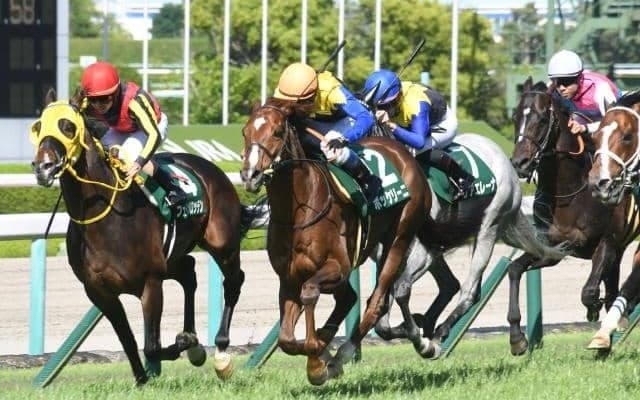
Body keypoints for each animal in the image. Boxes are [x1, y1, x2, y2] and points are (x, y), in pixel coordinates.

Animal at [30, 91, 256, 385]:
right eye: (38, 126)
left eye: (67, 126)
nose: (43, 167)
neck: (106, 217)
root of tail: (211, 168)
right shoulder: (100, 292)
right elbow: (129, 341)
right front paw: (143, 378)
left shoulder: (150, 282)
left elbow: (151, 346)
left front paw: (185, 346)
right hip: (171, 256)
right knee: (189, 272)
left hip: (223, 243)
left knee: (233, 281)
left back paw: (220, 351)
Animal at [240, 98, 430, 385]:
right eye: (245, 132)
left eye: (277, 132)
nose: (250, 174)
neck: (299, 211)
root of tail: (402, 152)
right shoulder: (289, 276)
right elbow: (286, 339)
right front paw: (317, 348)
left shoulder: (337, 267)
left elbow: (310, 293)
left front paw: (316, 362)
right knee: (349, 298)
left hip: (399, 239)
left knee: (375, 303)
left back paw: (342, 355)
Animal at [373, 132, 567, 357]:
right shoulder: (386, 253)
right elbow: (383, 309)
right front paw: (408, 326)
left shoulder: (423, 248)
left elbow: (401, 288)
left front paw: (420, 338)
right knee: (458, 287)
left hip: (488, 228)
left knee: (468, 291)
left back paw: (442, 332)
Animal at [509, 77, 640, 355]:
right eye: (515, 116)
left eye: (541, 119)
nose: (520, 163)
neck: (569, 192)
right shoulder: (553, 248)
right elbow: (514, 269)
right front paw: (517, 338)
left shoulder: (607, 243)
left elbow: (589, 292)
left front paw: (593, 310)